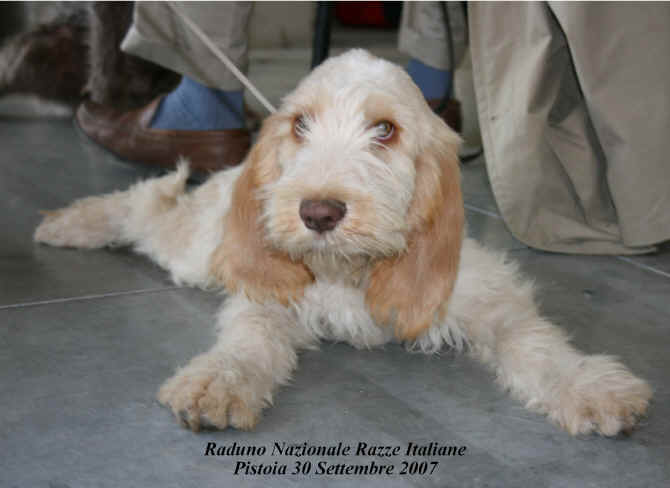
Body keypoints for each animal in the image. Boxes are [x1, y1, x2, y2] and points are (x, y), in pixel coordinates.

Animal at [34, 51, 652, 436]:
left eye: (385, 130)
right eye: (300, 125)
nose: (317, 212)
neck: (349, 268)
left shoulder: (484, 295)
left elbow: (534, 340)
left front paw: (586, 385)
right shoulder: (269, 300)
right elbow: (248, 342)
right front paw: (218, 381)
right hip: (195, 247)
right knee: (144, 205)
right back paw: (73, 223)